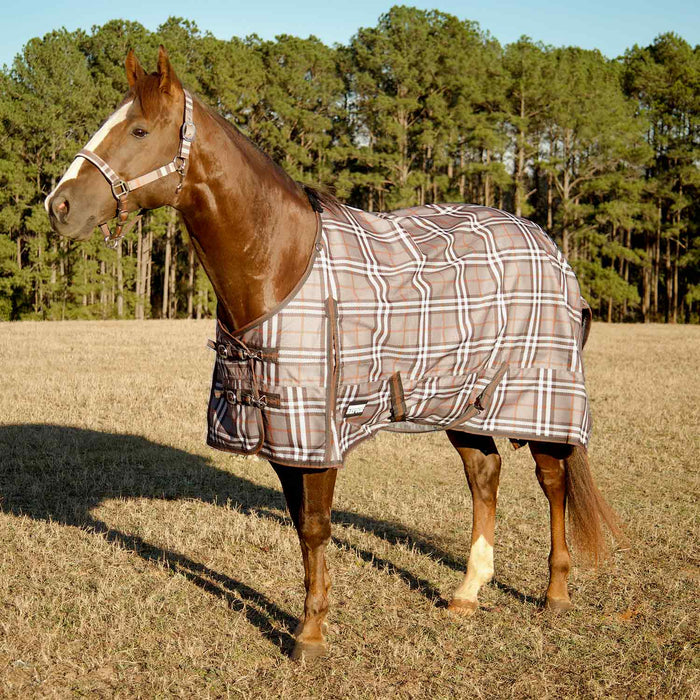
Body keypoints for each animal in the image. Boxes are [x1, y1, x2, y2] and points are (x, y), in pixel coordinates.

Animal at [45, 47, 619, 661]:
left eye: (139, 130)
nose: (59, 206)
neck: (282, 261)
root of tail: (548, 243)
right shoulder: (281, 430)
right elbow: (302, 526)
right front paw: (310, 621)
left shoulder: (318, 428)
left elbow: (318, 526)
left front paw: (310, 635)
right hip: (461, 398)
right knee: (484, 473)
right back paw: (468, 591)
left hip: (540, 393)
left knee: (553, 480)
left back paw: (556, 593)